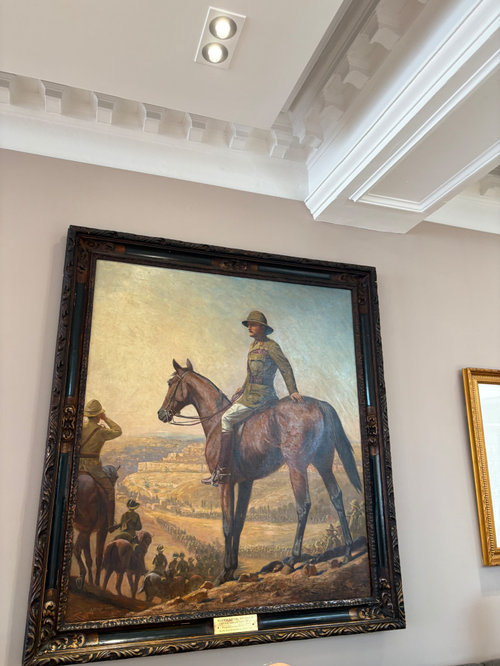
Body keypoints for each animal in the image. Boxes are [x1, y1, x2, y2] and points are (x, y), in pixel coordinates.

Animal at [158, 359, 362, 585]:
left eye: (170, 383)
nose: (161, 413)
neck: (217, 422)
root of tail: (318, 404)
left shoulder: (225, 483)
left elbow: (227, 525)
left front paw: (223, 572)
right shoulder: (245, 482)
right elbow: (239, 523)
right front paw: (232, 569)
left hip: (297, 466)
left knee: (303, 505)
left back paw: (292, 560)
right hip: (323, 463)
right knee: (336, 497)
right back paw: (347, 551)